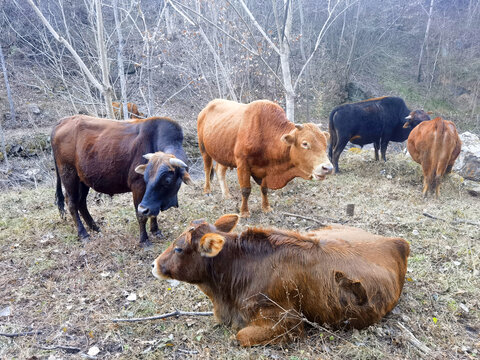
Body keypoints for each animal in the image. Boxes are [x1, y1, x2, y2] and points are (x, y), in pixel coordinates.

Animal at [52, 115, 193, 248]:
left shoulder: (152, 200)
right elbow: (141, 215)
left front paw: (156, 231)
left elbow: (153, 212)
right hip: (69, 175)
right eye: (145, 177)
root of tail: (63, 121)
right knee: (71, 203)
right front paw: (144, 240)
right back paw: (83, 234)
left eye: (167, 180)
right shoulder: (138, 187)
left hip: (82, 180)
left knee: (81, 202)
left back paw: (95, 228)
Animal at [197, 98, 332, 217]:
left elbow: (264, 189)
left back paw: (226, 195)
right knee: (207, 169)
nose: (328, 168)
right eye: (305, 143)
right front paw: (244, 212)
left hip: (223, 153)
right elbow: (246, 190)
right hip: (203, 148)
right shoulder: (242, 164)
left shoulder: (267, 168)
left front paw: (266, 208)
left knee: (220, 170)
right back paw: (207, 191)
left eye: (325, 143)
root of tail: (206, 108)